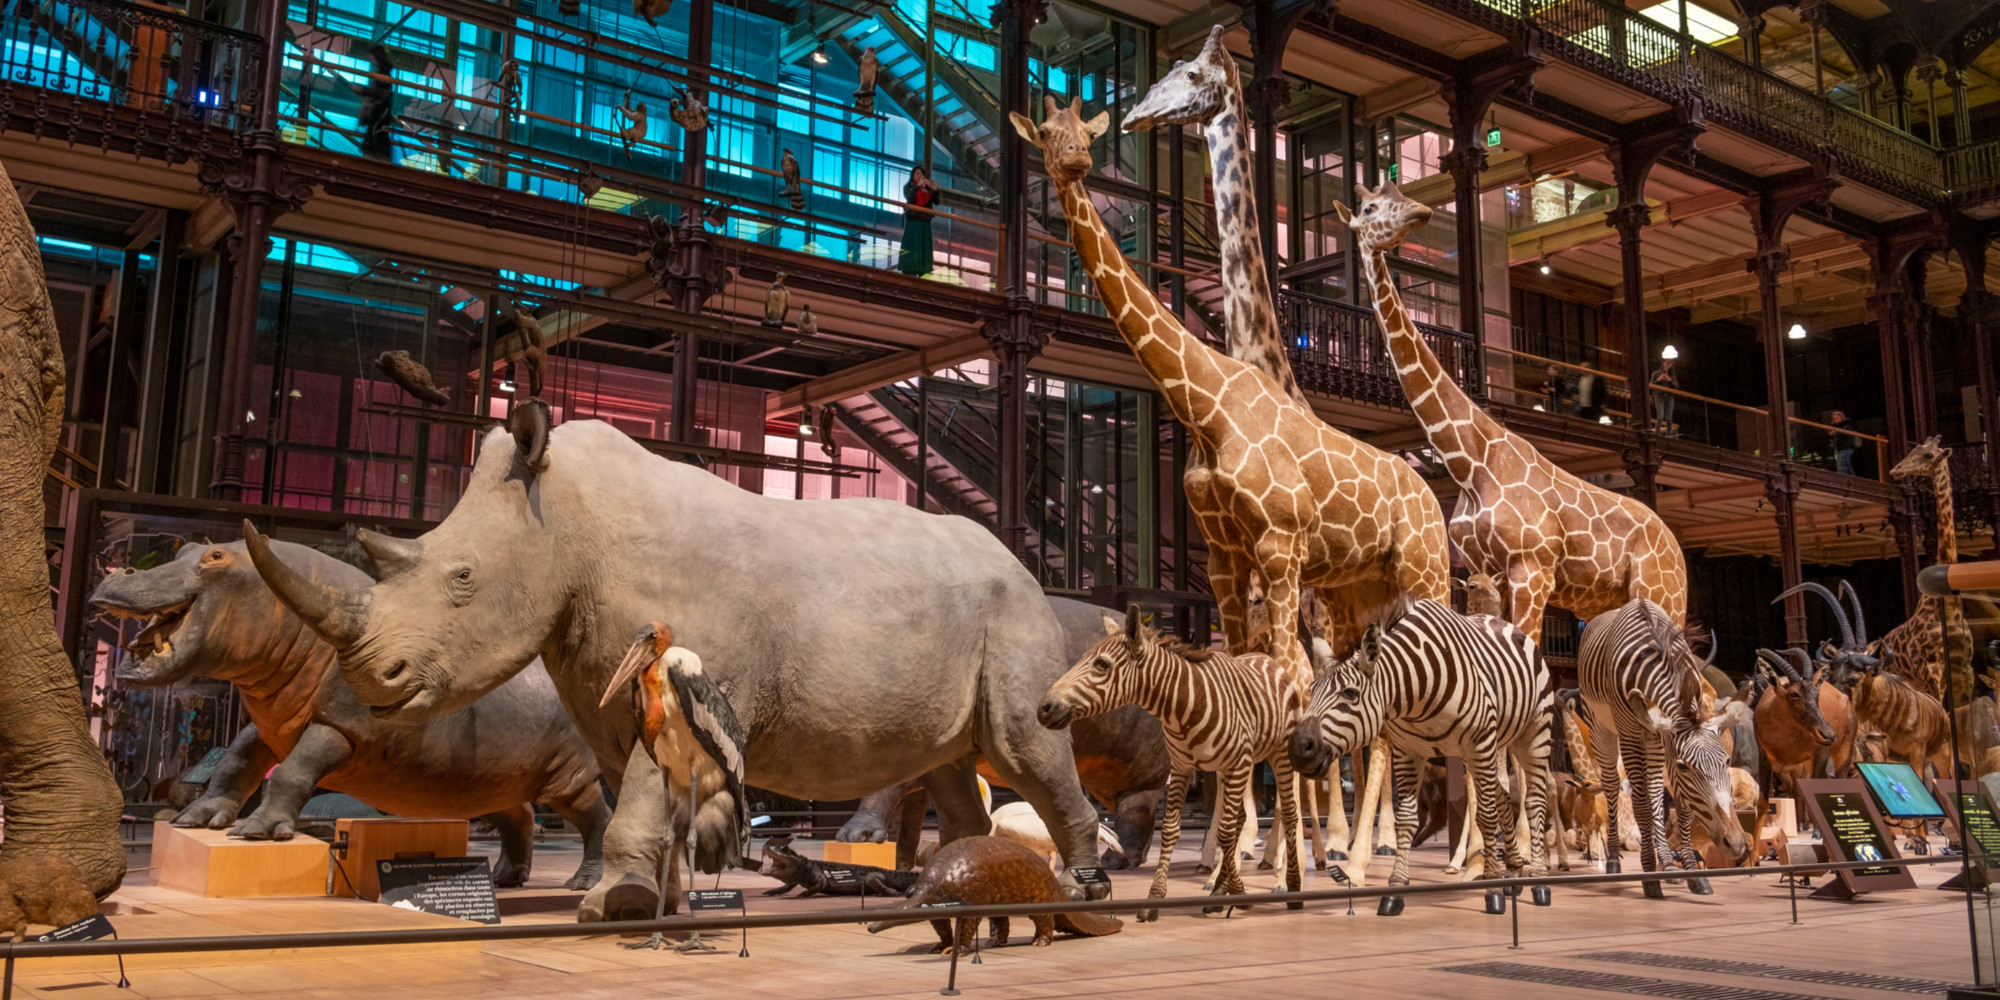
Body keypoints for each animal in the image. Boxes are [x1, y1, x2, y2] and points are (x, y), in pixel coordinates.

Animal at [1040, 604, 1320, 916]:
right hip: (1227, 768)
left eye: (1102, 664)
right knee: (1239, 819)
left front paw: (1241, 894)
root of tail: (1266, 659)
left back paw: (1292, 889)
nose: (1044, 708)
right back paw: (1219, 892)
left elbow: (1223, 832)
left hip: (1277, 755)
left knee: (1290, 815)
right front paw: (1155, 898)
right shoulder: (1183, 768)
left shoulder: (1234, 764)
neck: (1183, 706)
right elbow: (1172, 830)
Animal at [1288, 592, 1552, 884]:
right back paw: (1515, 862)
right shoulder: (1408, 751)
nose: (1298, 748)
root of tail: (1506, 624)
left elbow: (1484, 813)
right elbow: (1406, 818)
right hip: (1476, 754)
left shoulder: (1480, 742)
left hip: (1532, 735)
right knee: (1503, 798)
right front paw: (1398, 877)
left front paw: (1492, 874)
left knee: (1534, 801)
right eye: (1312, 690)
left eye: (1349, 693)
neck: (1414, 694)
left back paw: (1537, 868)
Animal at [1328, 184, 1688, 636]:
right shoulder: (1485, 571)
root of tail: (1677, 546)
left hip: (1661, 593)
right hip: (1611, 603)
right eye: (1369, 207)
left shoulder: (1532, 569)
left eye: (1402, 197)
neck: (1471, 464)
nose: (1420, 211)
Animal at [1576, 600, 1752, 884]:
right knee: (1613, 785)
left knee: (1656, 794)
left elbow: (1678, 806)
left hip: (1654, 741)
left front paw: (1687, 868)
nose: (1736, 843)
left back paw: (1666, 861)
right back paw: (1614, 859)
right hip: (1600, 727)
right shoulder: (1631, 735)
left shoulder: (1664, 738)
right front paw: (1650, 867)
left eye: (1726, 761)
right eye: (1683, 766)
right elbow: (1640, 804)